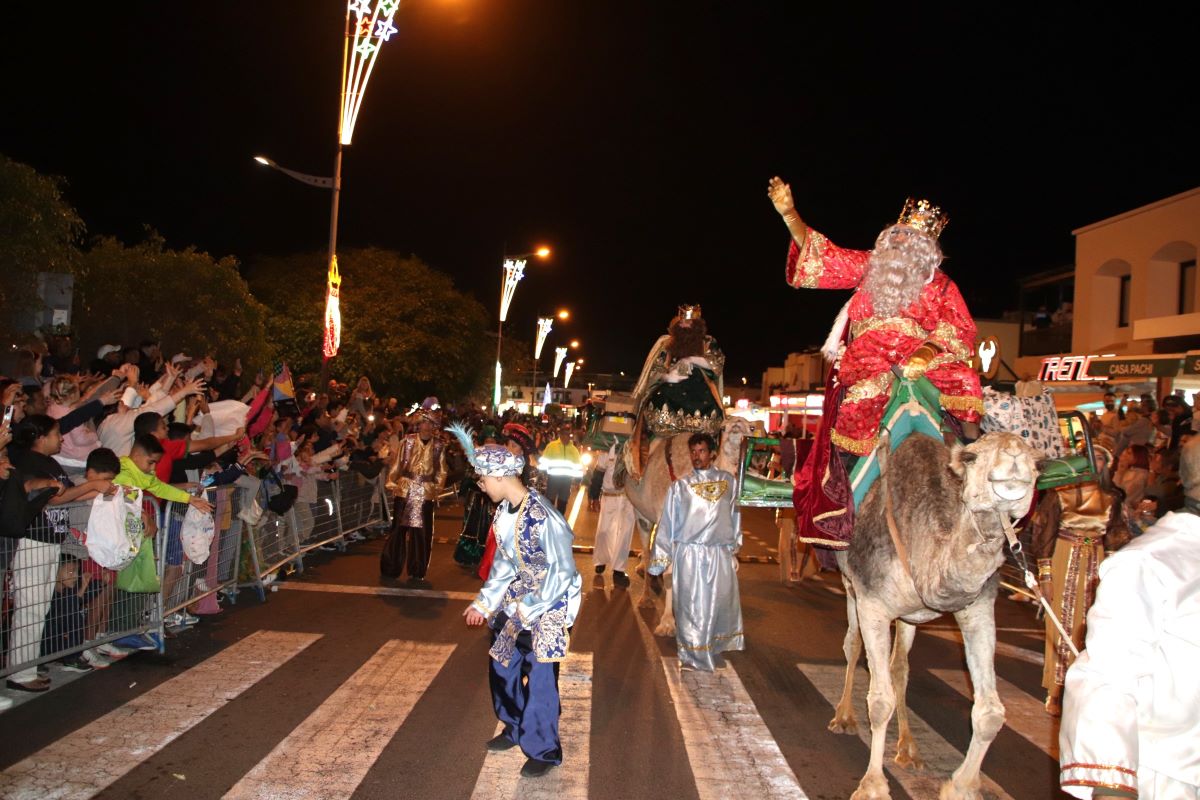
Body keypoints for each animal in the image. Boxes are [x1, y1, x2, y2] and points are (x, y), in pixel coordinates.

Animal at [624, 417, 753, 633]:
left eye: (752, 427)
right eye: (723, 427)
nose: (735, 425)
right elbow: (671, 572)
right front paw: (667, 623)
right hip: (641, 513)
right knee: (648, 547)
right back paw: (646, 597)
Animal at [835, 431, 1041, 800]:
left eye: (1037, 461)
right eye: (972, 457)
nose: (1015, 457)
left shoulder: (977, 609)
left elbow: (990, 712)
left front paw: (961, 786)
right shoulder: (871, 602)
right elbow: (880, 700)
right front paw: (872, 785)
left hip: (908, 616)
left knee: (899, 667)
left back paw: (908, 748)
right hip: (850, 584)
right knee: (852, 645)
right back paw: (844, 717)